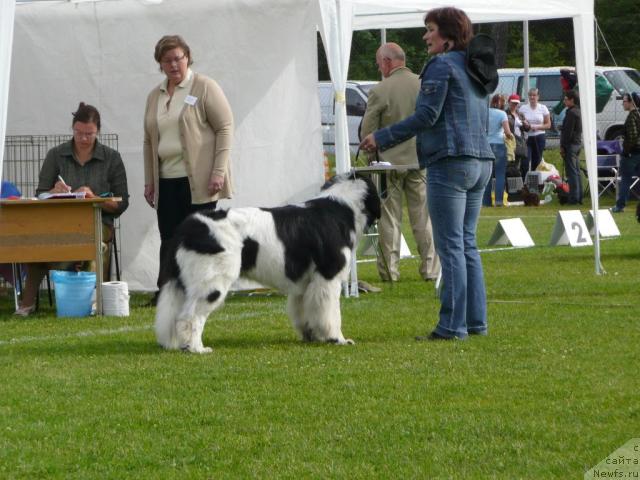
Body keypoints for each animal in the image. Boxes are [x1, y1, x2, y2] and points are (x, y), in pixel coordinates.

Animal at [154, 172, 380, 352]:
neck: (342, 209)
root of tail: (189, 226)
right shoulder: (327, 278)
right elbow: (331, 313)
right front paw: (337, 339)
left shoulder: (305, 284)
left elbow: (305, 312)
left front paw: (311, 336)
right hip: (212, 282)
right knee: (190, 316)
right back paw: (196, 349)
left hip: (186, 282)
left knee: (175, 316)